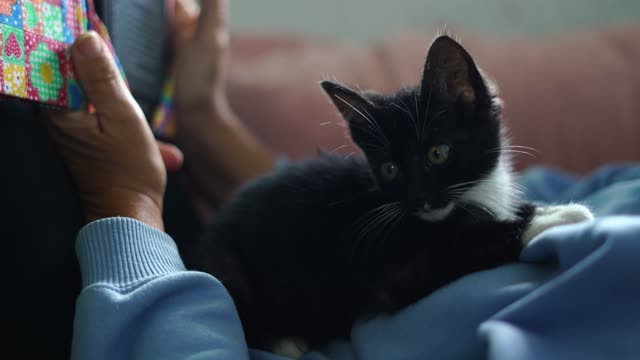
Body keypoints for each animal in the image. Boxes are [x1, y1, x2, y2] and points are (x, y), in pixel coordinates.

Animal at [182, 34, 592, 358]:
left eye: (437, 153)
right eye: (390, 169)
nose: (418, 199)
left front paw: (542, 210)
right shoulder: (392, 271)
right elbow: (467, 246)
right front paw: (555, 219)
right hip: (231, 268)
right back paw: (287, 340)